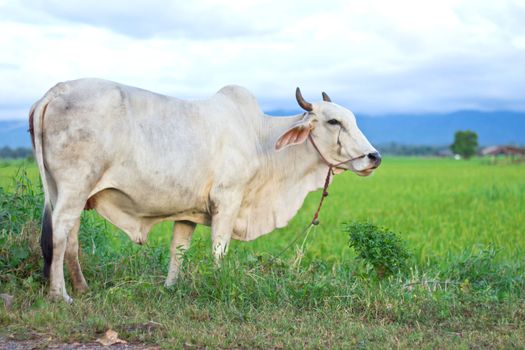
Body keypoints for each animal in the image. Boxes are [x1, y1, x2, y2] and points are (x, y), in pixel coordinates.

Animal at [28, 78, 378, 300]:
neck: (259, 140)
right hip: (75, 187)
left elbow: (178, 251)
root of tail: (57, 90)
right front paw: (219, 284)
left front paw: (170, 288)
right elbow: (219, 249)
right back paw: (60, 295)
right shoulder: (228, 199)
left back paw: (82, 288)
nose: (374, 157)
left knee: (71, 238)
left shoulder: (188, 212)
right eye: (333, 122)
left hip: (68, 193)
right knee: (59, 233)